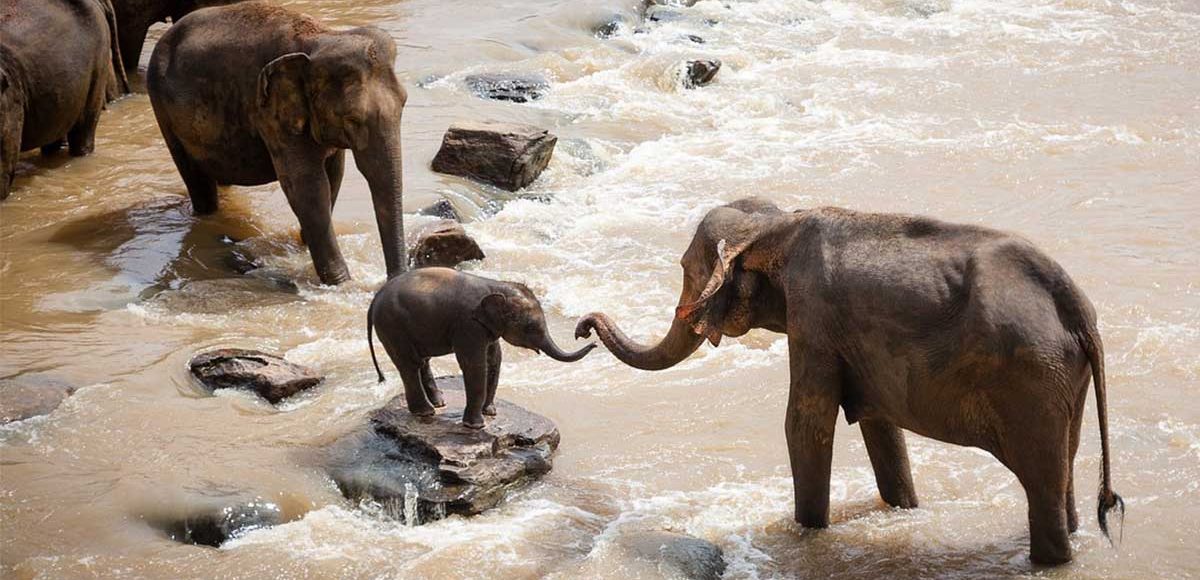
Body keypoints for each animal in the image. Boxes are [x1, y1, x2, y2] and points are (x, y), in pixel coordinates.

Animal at [146, 3, 406, 284]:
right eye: (353, 118)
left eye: (404, 102)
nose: (393, 279)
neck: (321, 38)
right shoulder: (270, 112)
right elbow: (307, 186)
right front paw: (341, 283)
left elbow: (334, 175)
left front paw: (305, 244)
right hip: (162, 110)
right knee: (196, 180)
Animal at [367, 267, 596, 429]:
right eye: (530, 327)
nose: (589, 337)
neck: (496, 286)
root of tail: (374, 300)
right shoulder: (468, 325)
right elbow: (474, 365)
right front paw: (476, 426)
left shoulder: (487, 327)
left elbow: (494, 359)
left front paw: (490, 412)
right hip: (392, 327)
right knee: (410, 364)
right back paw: (425, 412)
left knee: (421, 360)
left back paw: (438, 403)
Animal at [575, 197, 1123, 565]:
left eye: (686, 269)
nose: (582, 328)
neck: (776, 224)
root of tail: (1077, 309)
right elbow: (881, 427)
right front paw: (903, 508)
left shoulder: (813, 319)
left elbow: (805, 423)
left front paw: (807, 533)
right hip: (1060, 382)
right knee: (1063, 469)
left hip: (1033, 380)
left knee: (1041, 481)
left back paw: (1049, 559)